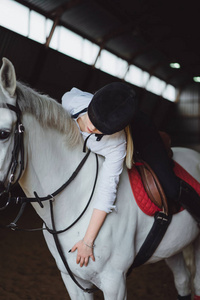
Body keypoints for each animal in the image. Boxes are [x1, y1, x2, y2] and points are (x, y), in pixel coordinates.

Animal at [0, 56, 199, 300]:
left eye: (3, 133)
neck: (76, 200)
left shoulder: (115, 281)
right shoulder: (72, 281)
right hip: (173, 248)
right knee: (183, 281)